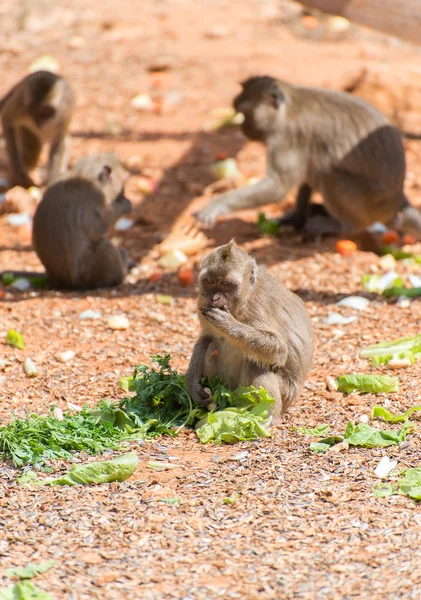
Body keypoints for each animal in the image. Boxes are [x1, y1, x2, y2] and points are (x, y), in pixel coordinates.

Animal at [27, 151, 132, 290]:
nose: (124, 194)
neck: (84, 175)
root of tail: (60, 281)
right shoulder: (95, 197)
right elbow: (95, 229)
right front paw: (124, 206)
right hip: (87, 275)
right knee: (106, 248)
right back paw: (121, 273)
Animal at [185, 237, 314, 420]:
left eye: (226, 283)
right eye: (209, 281)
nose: (214, 297)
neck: (240, 303)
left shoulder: (258, 307)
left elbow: (279, 349)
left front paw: (227, 323)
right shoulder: (201, 303)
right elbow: (206, 337)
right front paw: (192, 383)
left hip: (286, 392)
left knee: (256, 362)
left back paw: (266, 417)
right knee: (213, 346)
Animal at [195, 76, 420, 240]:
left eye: (245, 114)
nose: (242, 128)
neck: (287, 108)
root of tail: (399, 200)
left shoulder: (287, 135)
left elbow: (278, 188)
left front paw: (218, 204)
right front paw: (296, 216)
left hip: (373, 204)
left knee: (330, 173)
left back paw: (344, 226)